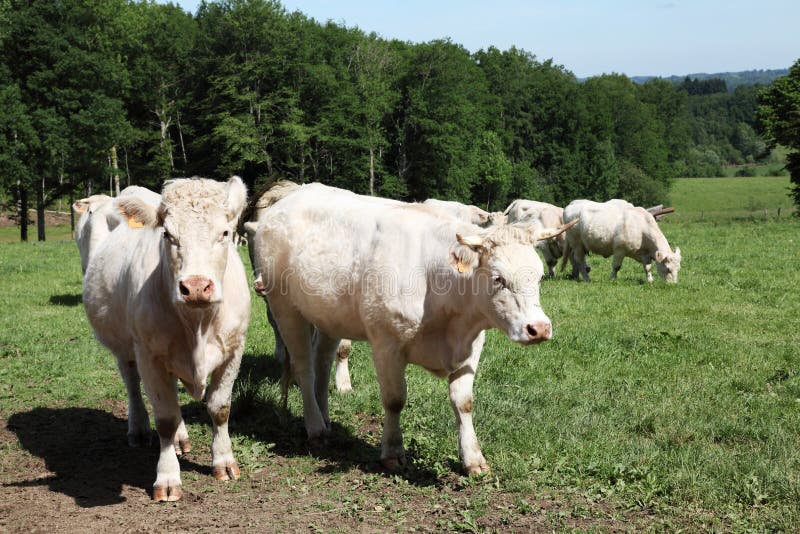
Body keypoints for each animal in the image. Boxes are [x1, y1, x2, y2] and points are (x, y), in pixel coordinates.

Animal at [83, 177, 248, 502]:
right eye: (168, 234)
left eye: (224, 232)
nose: (196, 287)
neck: (197, 325)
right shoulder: (149, 354)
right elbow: (165, 419)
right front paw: (168, 477)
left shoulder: (234, 349)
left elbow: (219, 408)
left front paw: (224, 461)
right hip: (124, 345)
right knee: (132, 384)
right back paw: (138, 429)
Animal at [250, 185, 576, 478]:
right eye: (498, 278)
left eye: (540, 275)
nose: (539, 329)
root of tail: (289, 198)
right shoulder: (386, 344)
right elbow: (395, 400)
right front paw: (393, 453)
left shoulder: (472, 345)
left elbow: (464, 402)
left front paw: (473, 459)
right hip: (285, 308)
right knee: (304, 368)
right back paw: (315, 427)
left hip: (329, 315)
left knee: (322, 364)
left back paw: (326, 419)